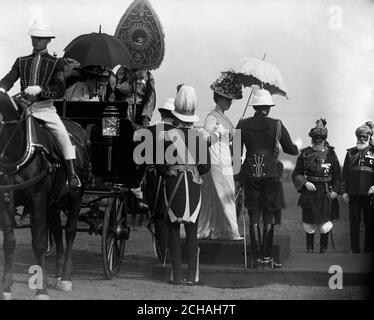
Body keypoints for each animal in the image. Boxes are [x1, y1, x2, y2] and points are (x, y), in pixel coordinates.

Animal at [0, 92, 88, 300]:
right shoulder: (8, 198)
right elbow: (9, 243)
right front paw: (6, 287)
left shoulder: (38, 198)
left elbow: (39, 243)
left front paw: (41, 291)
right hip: (53, 203)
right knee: (56, 231)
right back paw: (57, 274)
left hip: (76, 197)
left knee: (70, 232)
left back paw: (66, 278)